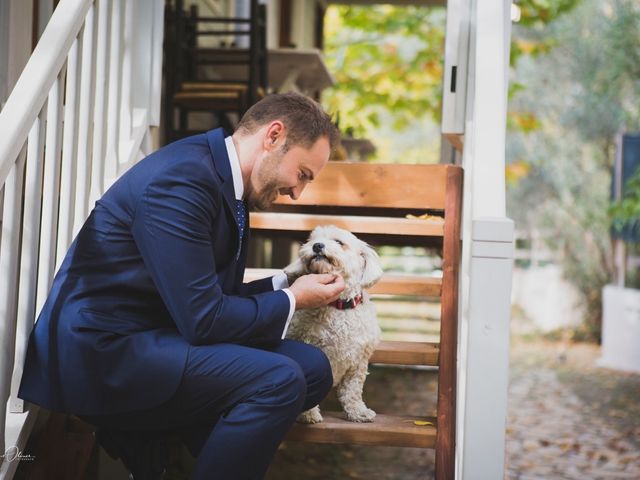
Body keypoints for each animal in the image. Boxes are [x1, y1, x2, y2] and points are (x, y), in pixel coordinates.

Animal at [284, 225, 382, 424]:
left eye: (339, 242)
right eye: (311, 240)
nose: (317, 246)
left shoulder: (358, 362)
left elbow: (352, 390)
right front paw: (308, 414)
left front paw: (358, 411)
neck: (339, 306)